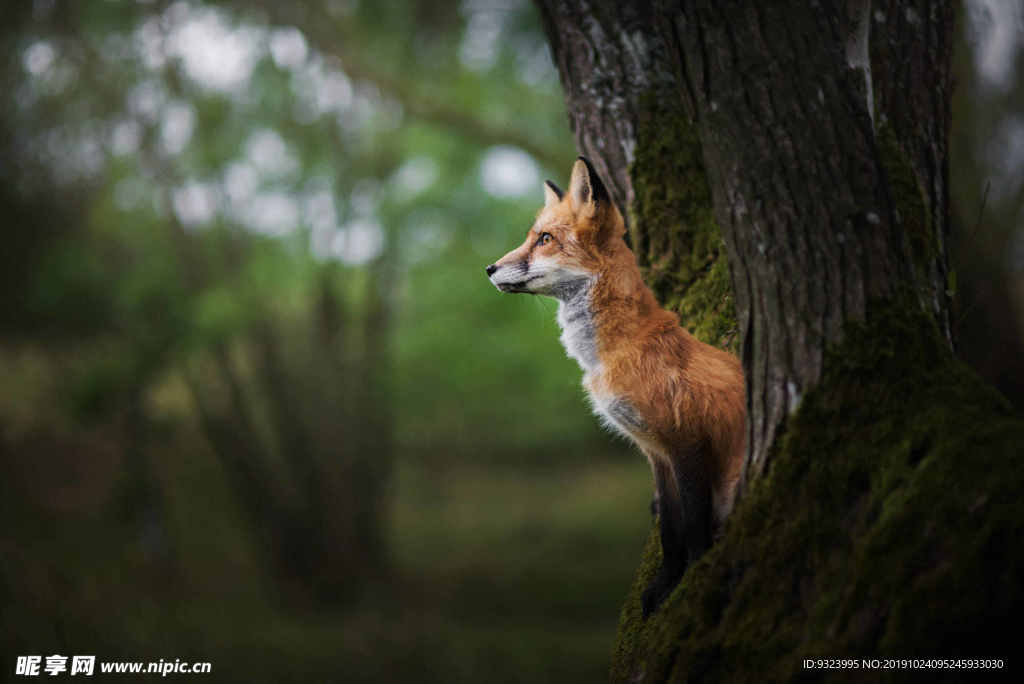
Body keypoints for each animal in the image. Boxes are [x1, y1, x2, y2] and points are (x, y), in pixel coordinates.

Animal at [485, 157, 745, 618]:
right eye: (532, 237)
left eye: (545, 239)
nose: (489, 269)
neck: (617, 351)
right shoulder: (656, 452)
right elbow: (671, 531)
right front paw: (663, 589)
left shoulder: (687, 441)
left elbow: (694, 526)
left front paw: (691, 584)